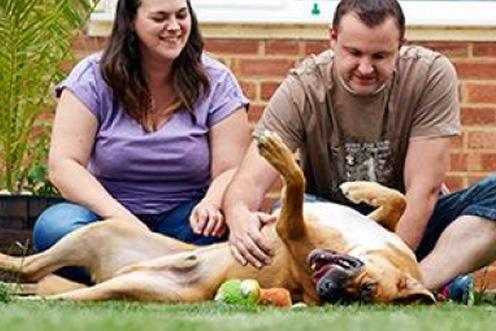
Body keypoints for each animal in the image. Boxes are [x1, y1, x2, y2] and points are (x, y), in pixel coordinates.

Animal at [0, 130, 434, 306]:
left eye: (363, 294)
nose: (325, 291)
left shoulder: (290, 228)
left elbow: (294, 184)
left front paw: (279, 156)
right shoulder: (376, 226)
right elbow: (398, 201)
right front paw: (360, 188)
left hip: (112, 288)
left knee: (44, 287)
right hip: (100, 231)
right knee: (31, 268)